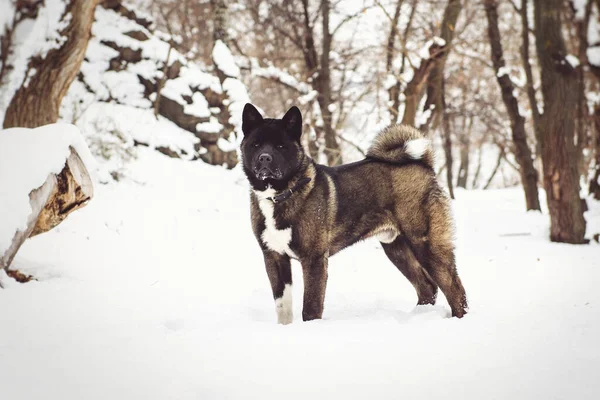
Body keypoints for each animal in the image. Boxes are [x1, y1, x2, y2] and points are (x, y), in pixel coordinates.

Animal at [241, 104, 466, 324]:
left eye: (280, 146)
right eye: (256, 144)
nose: (264, 158)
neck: (280, 194)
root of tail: (423, 165)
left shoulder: (314, 259)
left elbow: (311, 307)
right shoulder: (274, 257)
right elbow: (283, 306)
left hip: (426, 245)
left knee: (454, 288)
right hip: (397, 248)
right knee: (427, 287)